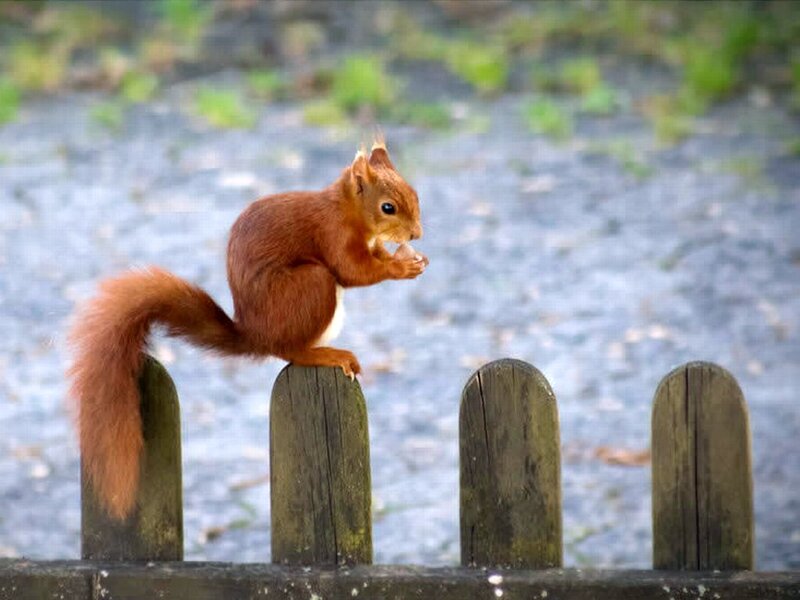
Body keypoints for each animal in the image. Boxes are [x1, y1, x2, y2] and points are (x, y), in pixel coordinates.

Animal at [68, 138, 427, 520]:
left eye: (415, 194)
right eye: (387, 207)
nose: (417, 234)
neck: (346, 209)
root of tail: (256, 334)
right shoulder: (333, 234)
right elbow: (352, 270)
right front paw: (401, 266)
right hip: (311, 287)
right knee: (291, 350)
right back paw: (328, 355)